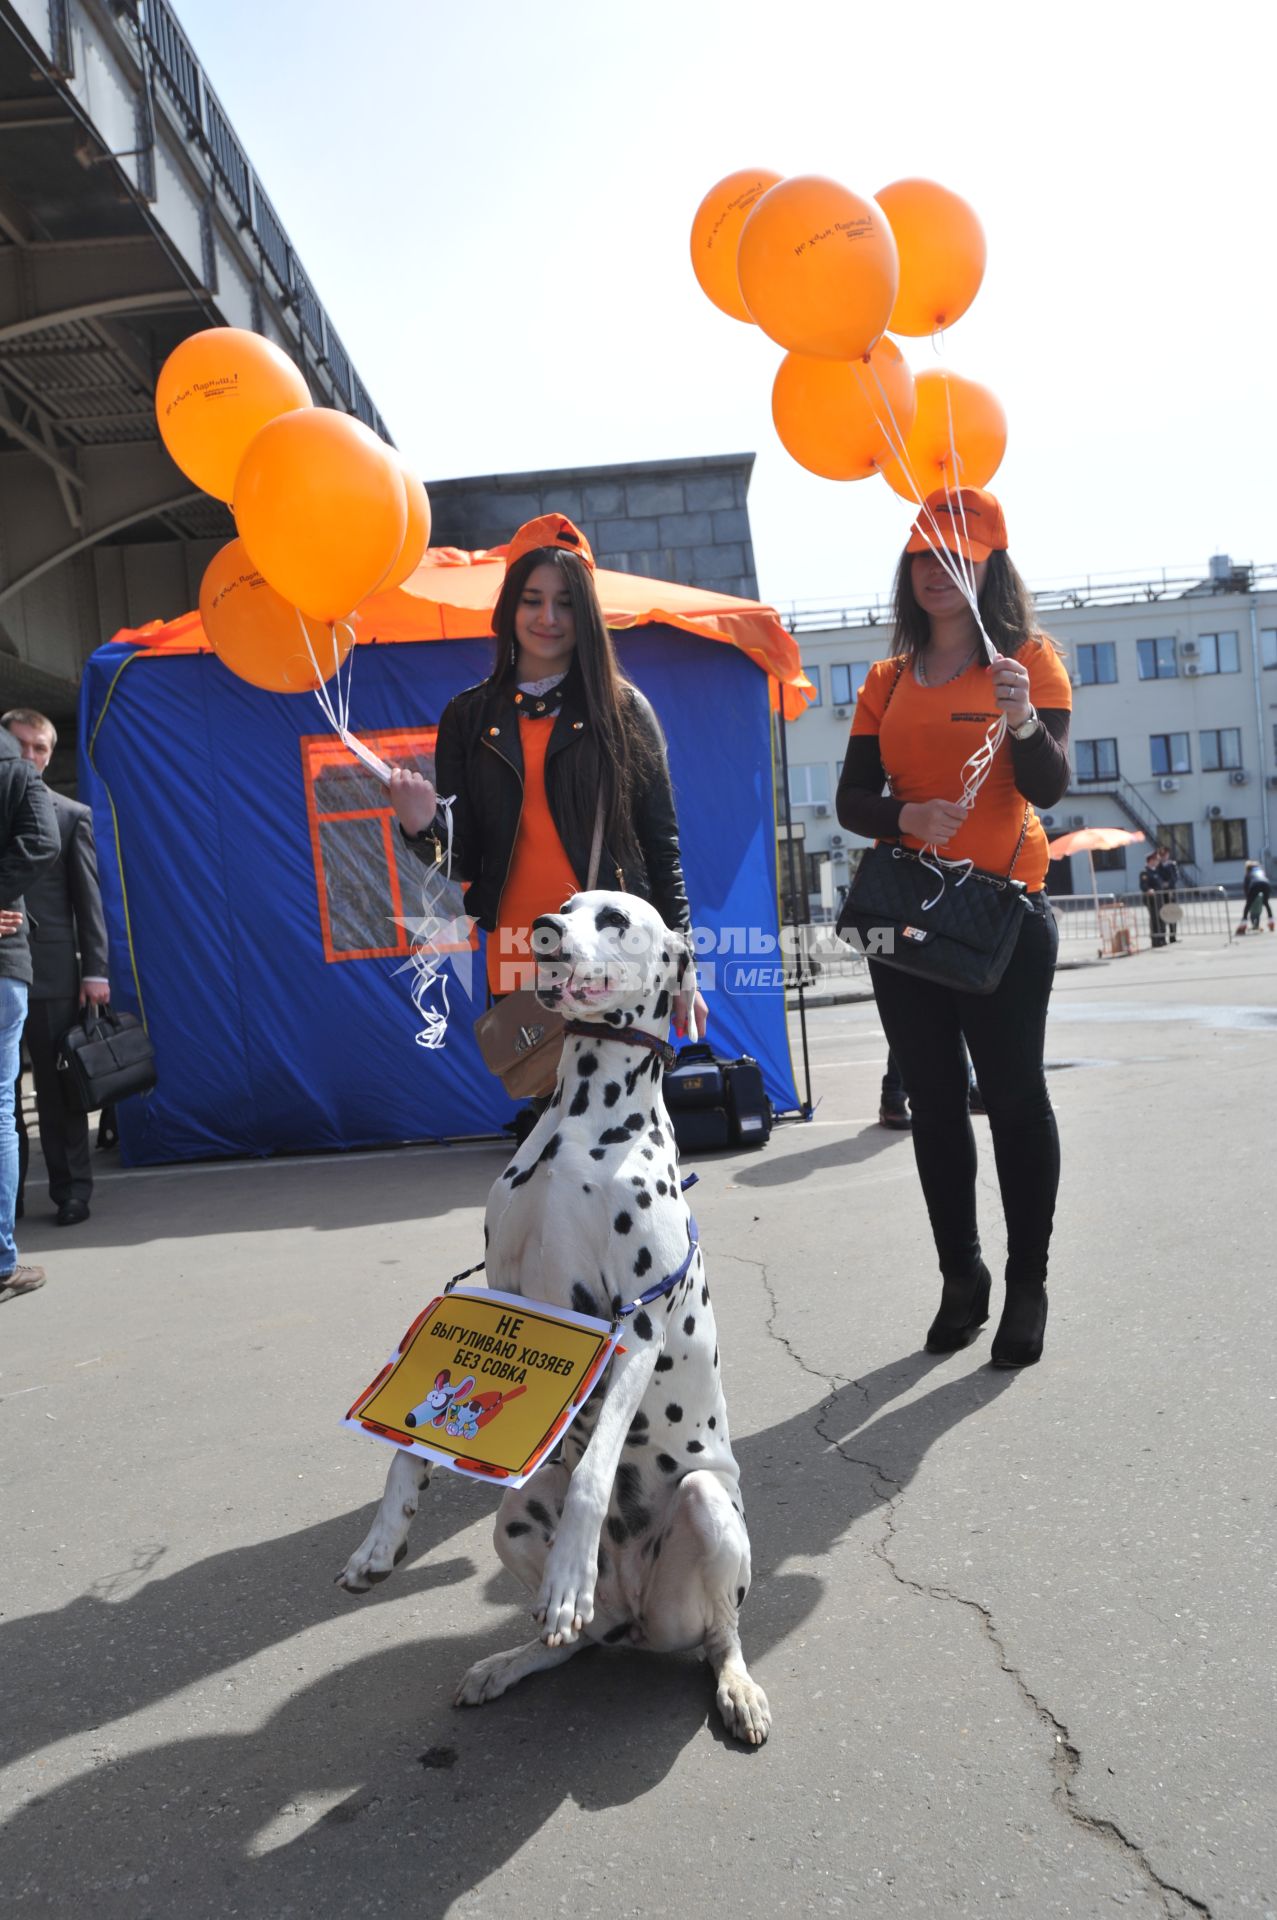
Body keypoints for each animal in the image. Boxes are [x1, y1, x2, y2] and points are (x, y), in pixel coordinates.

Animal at [336, 890, 768, 1751]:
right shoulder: (498, 1295)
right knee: (568, 1639)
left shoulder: (635, 1328)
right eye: (567, 905)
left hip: (708, 1508)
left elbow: (595, 1473)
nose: (540, 928)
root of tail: (638, 1623)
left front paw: (572, 1568)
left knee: (719, 1632)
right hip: (514, 1512)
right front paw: (384, 1535)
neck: (580, 1127)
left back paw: (732, 1682)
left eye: (612, 919)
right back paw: (512, 1660)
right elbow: (405, 1451)